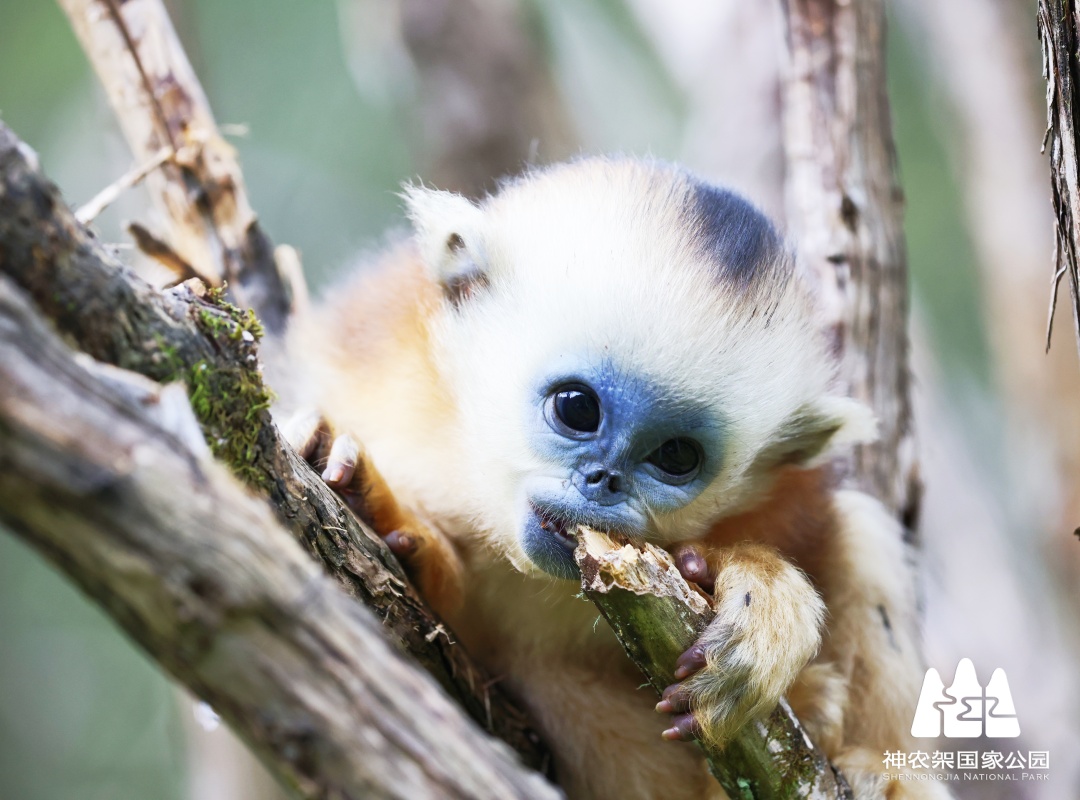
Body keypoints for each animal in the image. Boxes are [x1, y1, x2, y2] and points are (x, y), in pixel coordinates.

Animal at [281, 157, 950, 799]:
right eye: (577, 408)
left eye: (676, 457)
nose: (603, 481)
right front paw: (372, 501)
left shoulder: (791, 500)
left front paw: (756, 594)